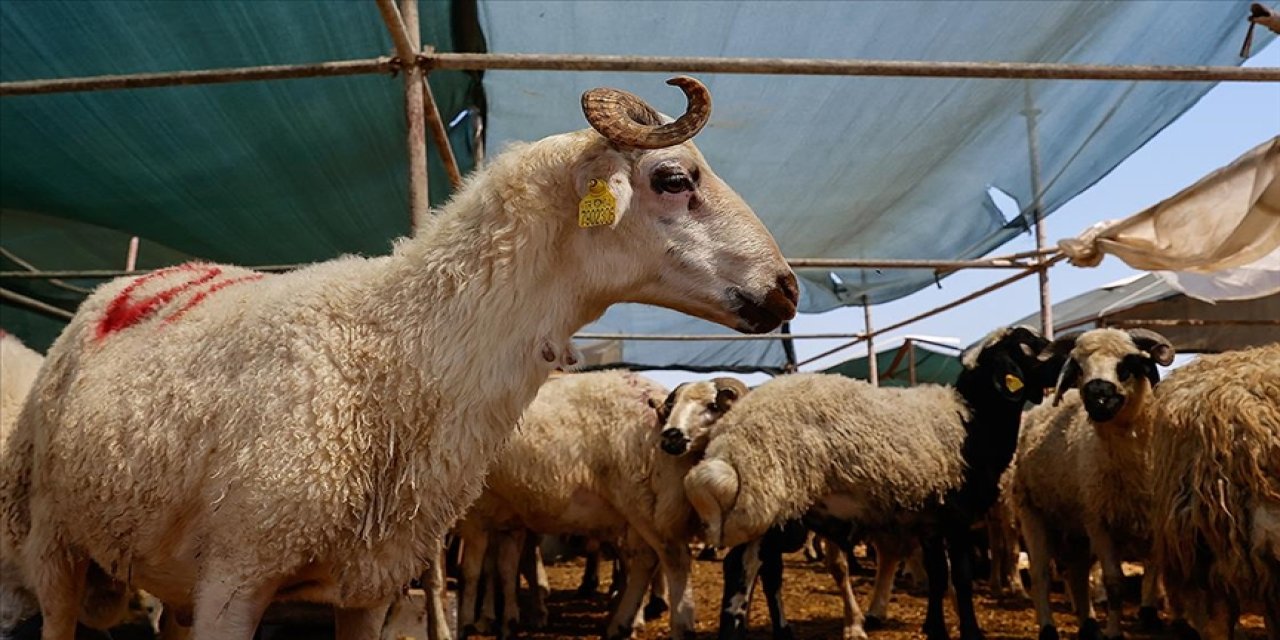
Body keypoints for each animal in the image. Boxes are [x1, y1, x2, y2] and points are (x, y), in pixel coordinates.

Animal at [453, 371, 747, 640]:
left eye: (713, 406)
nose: (674, 437)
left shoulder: (472, 515)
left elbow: (472, 571)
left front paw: (468, 622)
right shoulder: (509, 518)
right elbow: (505, 568)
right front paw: (507, 622)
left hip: (645, 502)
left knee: (672, 558)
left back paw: (679, 625)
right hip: (640, 506)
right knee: (645, 559)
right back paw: (621, 623)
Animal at [686, 327, 1054, 637]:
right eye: (1029, 346)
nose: (1063, 358)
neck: (973, 419)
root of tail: (729, 437)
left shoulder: (931, 518)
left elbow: (938, 575)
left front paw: (935, 628)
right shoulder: (957, 516)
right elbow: (960, 577)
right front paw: (971, 633)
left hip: (762, 506)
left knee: (743, 567)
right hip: (770, 502)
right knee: (745, 568)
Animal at [1013, 327, 1172, 640]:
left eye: (1127, 364)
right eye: (1078, 367)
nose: (1097, 394)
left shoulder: (1153, 518)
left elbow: (1155, 568)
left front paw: (1149, 615)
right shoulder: (1099, 522)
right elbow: (1114, 582)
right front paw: (1114, 632)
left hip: (1074, 525)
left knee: (1076, 571)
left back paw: (1088, 625)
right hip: (1033, 512)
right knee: (1041, 574)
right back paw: (1048, 628)